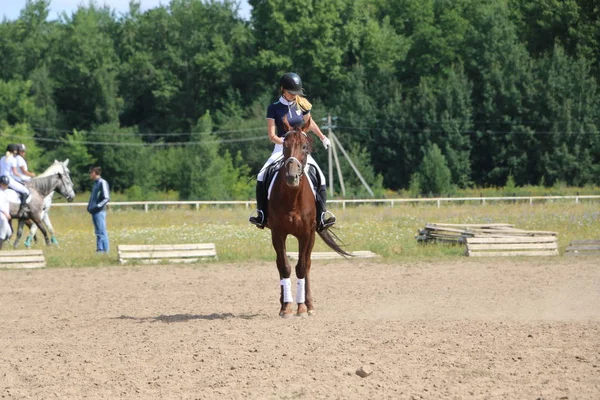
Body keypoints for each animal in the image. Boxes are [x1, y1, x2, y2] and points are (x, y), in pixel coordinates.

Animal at [268, 117, 350, 318]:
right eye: (285, 145)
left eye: (305, 147)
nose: (291, 176)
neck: (292, 198)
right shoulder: (277, 233)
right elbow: (285, 266)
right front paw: (286, 307)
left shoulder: (306, 234)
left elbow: (302, 267)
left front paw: (302, 308)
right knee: (281, 264)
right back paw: (285, 302)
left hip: (312, 235)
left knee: (308, 264)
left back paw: (309, 304)